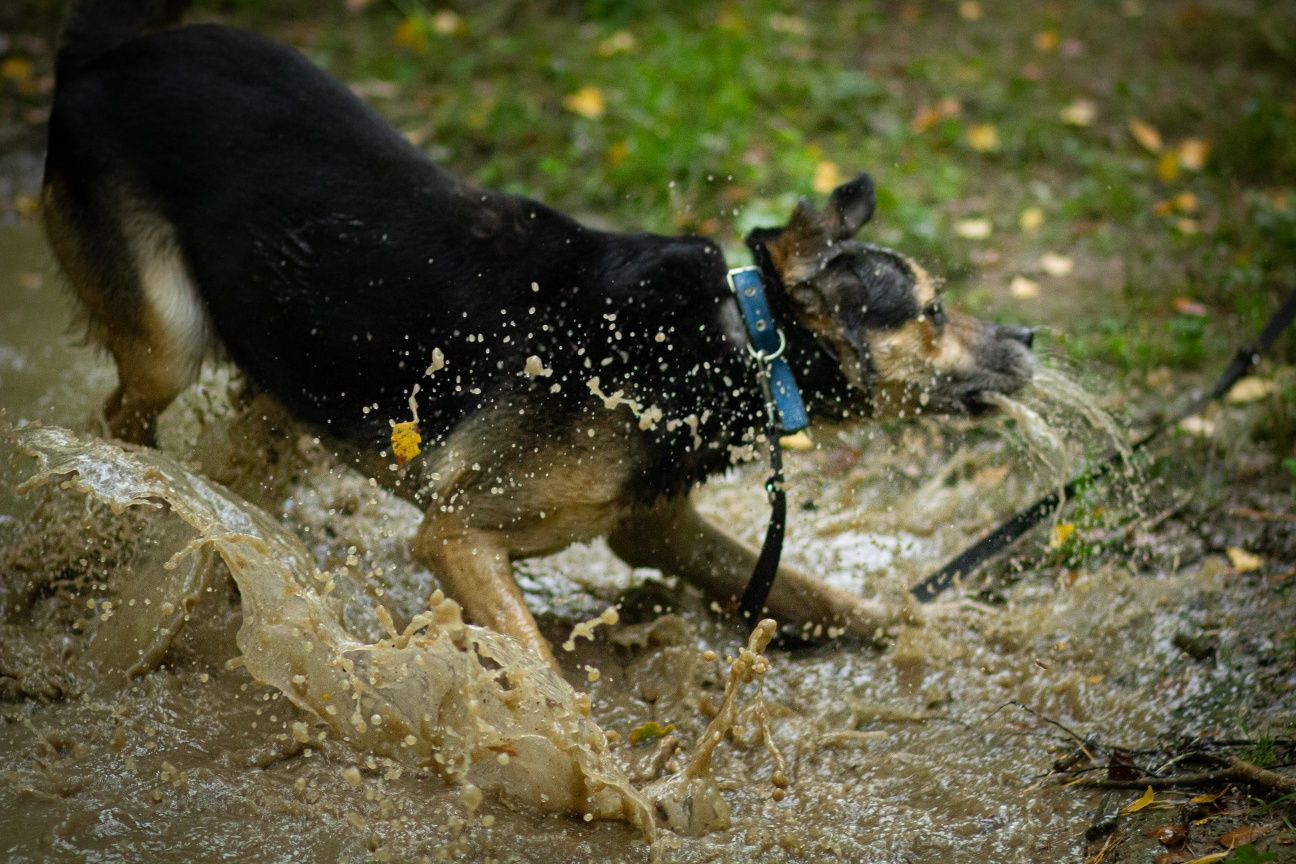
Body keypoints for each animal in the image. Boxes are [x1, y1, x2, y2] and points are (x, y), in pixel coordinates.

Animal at [40, 0, 1036, 668]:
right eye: (933, 310)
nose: (1029, 335)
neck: (729, 341)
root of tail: (103, 56)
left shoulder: (656, 529)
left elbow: (820, 594)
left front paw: (927, 628)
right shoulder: (456, 537)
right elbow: (545, 674)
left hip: (296, 373)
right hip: (166, 342)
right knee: (122, 428)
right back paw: (119, 522)